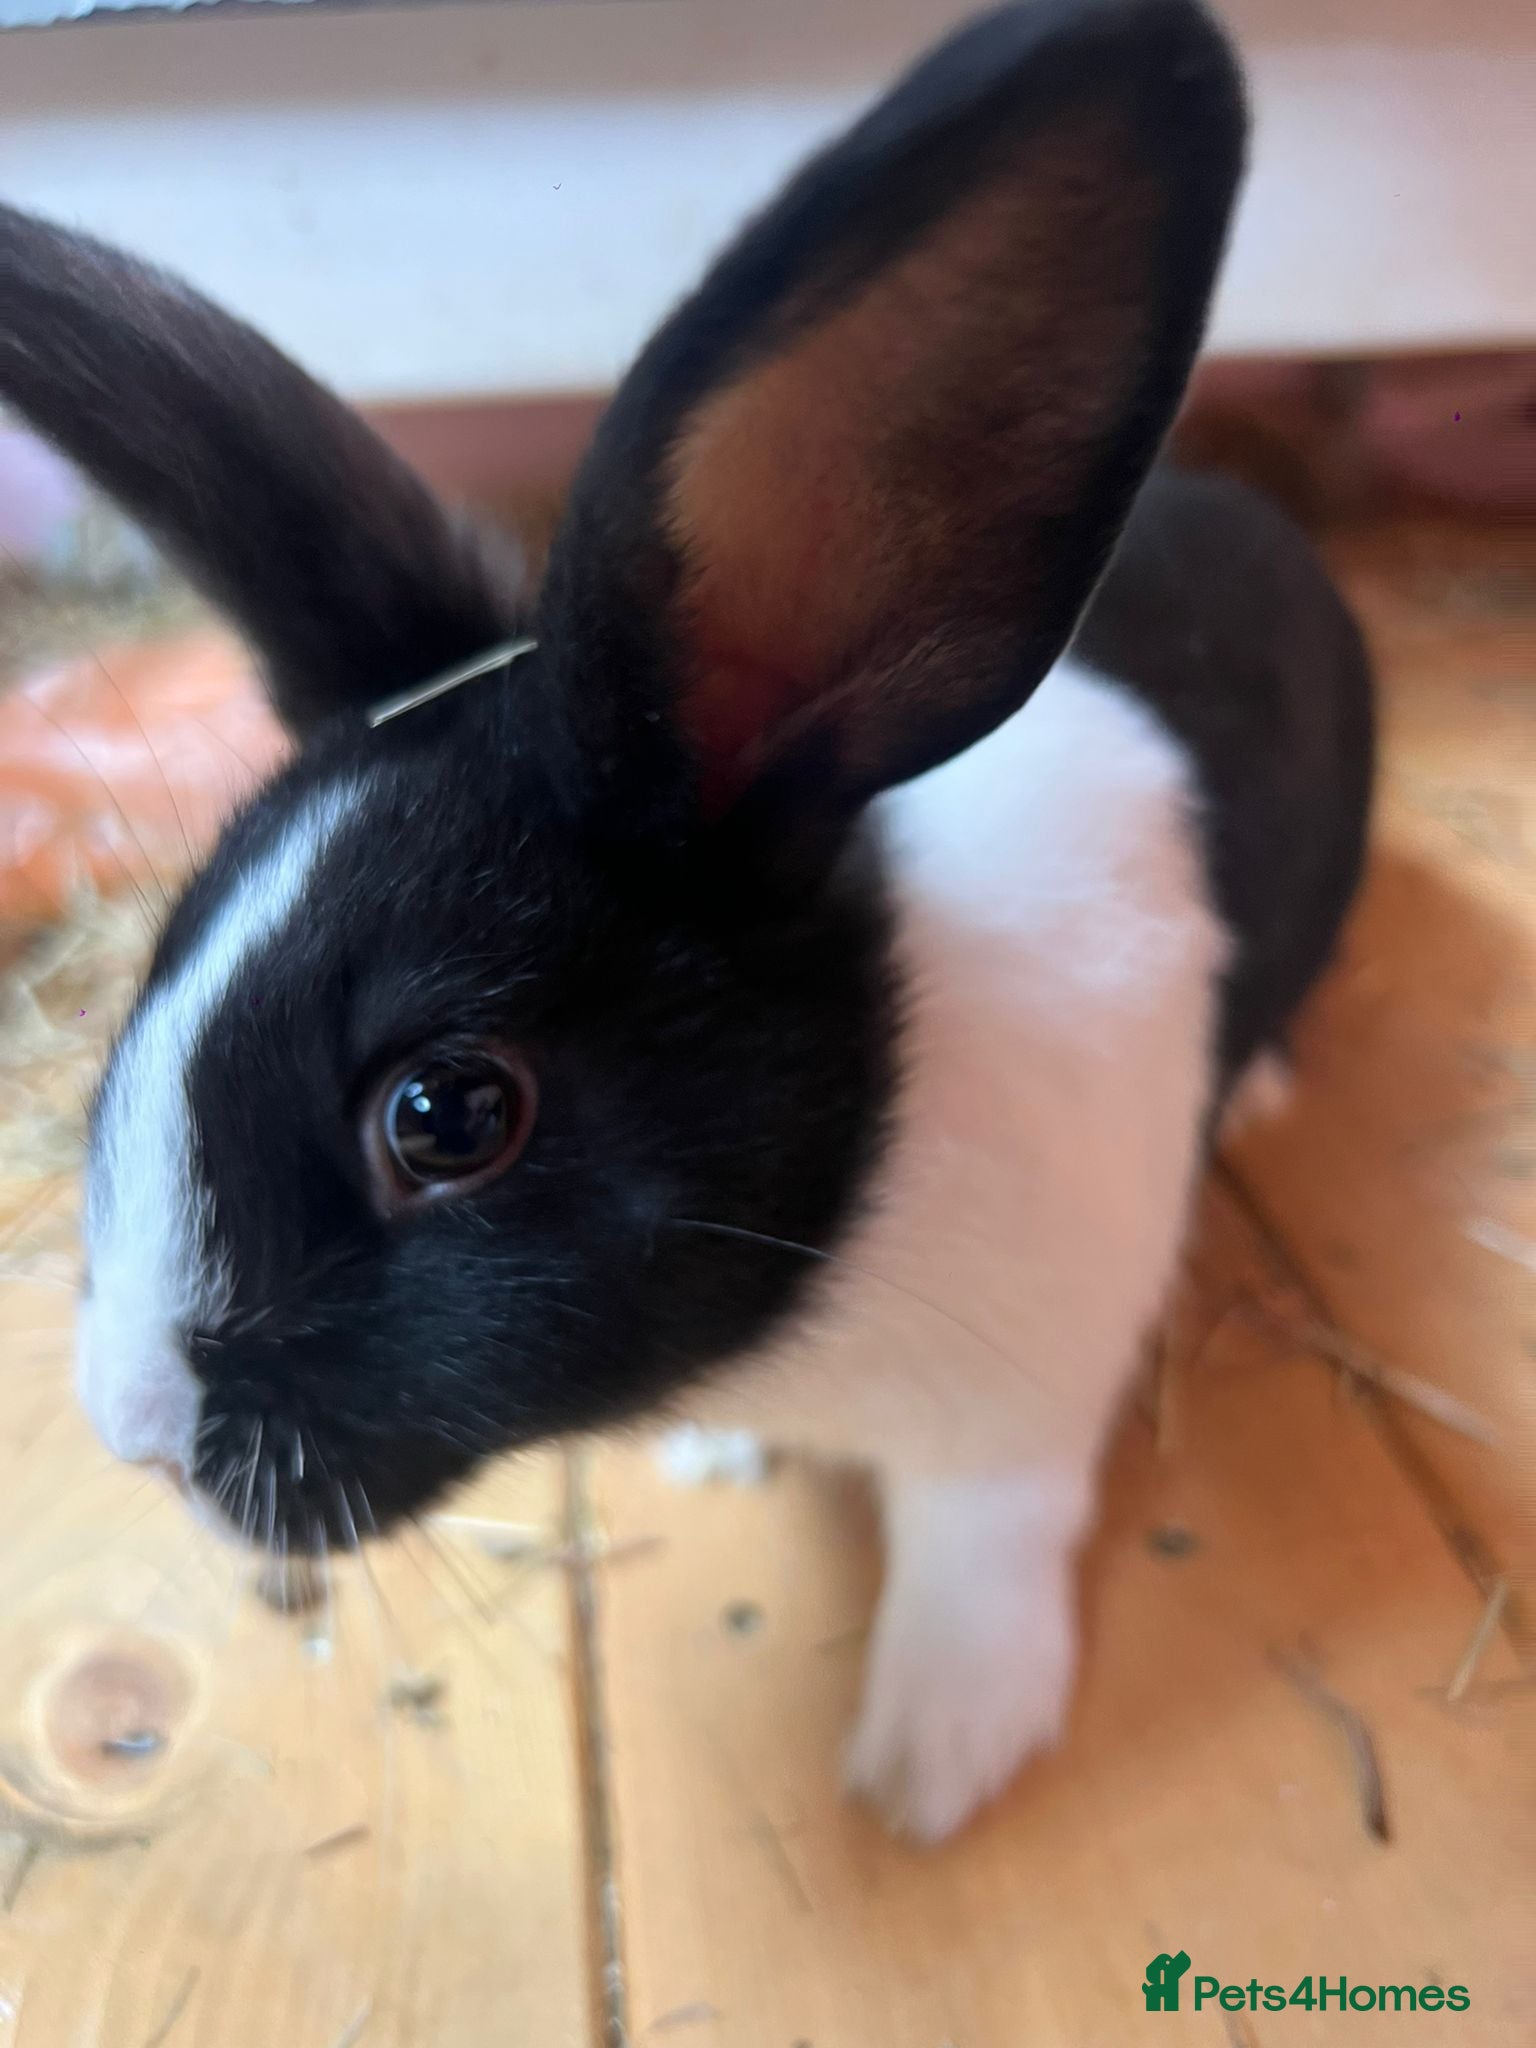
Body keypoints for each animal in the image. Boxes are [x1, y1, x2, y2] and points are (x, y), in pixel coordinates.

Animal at [0, 0, 1372, 1843]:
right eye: (161, 960)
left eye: (448, 1115)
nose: (133, 1424)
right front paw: (721, 1462)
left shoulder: (1021, 1414)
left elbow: (983, 1549)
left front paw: (931, 1766)